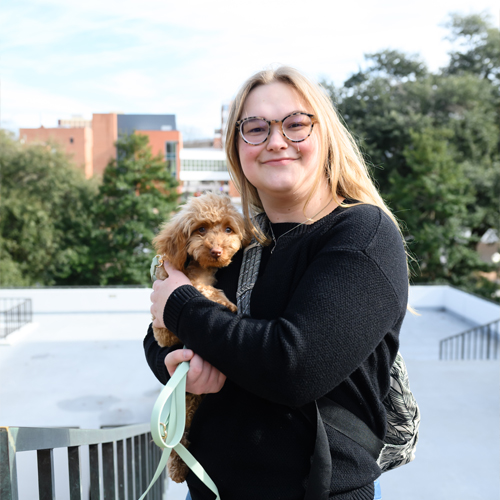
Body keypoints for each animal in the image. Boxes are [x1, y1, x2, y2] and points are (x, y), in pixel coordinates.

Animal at [149, 193, 249, 482]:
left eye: (228, 229)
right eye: (201, 229)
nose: (216, 251)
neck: (197, 268)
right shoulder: (163, 330)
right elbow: (202, 290)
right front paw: (227, 303)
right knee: (176, 439)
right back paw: (176, 469)